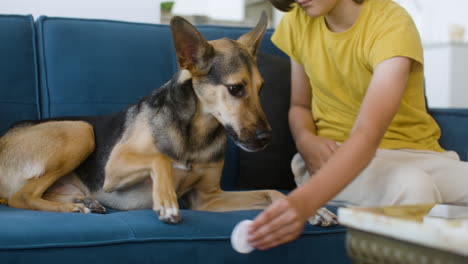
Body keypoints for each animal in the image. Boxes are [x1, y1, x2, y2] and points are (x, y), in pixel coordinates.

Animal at [0, 13, 336, 226]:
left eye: (262, 89)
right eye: (235, 89)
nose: (267, 138)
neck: (195, 132)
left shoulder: (208, 199)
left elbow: (271, 192)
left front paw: (313, 211)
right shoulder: (114, 167)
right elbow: (159, 159)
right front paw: (166, 201)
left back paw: (82, 203)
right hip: (81, 130)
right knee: (21, 196)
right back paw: (72, 208)